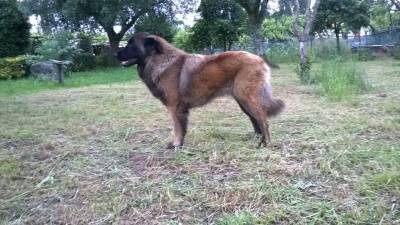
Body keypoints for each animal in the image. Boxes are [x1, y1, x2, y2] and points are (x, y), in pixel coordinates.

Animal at [115, 32, 284, 149]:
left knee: (263, 119)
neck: (161, 62)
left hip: (247, 97)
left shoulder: (175, 107)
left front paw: (176, 144)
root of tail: (259, 59)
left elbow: (178, 128)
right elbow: (182, 128)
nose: (115, 53)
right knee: (255, 119)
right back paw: (256, 138)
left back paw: (264, 142)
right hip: (242, 100)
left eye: (131, 45)